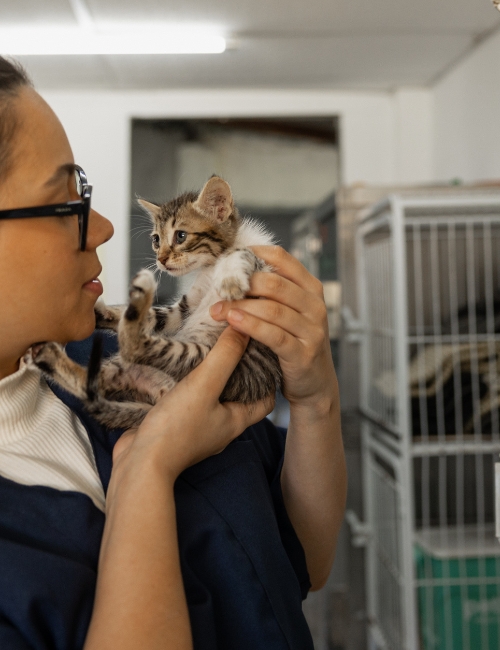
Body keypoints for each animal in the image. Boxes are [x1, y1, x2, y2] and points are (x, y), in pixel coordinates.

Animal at [32, 175, 282, 428]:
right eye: (156, 239)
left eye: (181, 236)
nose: (160, 259)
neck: (210, 266)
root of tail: (159, 392)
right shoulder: (183, 310)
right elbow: (156, 316)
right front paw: (103, 313)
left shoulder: (262, 270)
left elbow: (242, 253)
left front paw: (231, 280)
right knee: (93, 381)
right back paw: (50, 355)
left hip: (198, 356)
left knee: (133, 348)